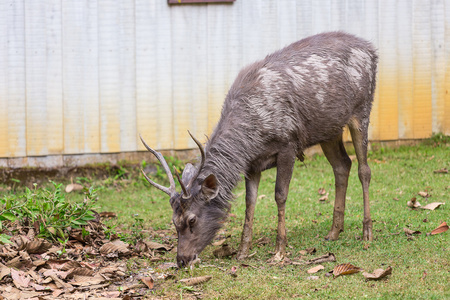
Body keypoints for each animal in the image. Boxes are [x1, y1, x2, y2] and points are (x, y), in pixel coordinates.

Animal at [140, 32, 376, 268]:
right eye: (173, 221)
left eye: (192, 219)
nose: (182, 260)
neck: (252, 136)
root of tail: (371, 49)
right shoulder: (252, 164)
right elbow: (249, 202)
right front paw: (242, 252)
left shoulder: (288, 144)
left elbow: (280, 195)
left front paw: (279, 250)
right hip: (329, 129)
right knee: (342, 165)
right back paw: (334, 232)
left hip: (362, 110)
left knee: (364, 169)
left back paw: (367, 232)